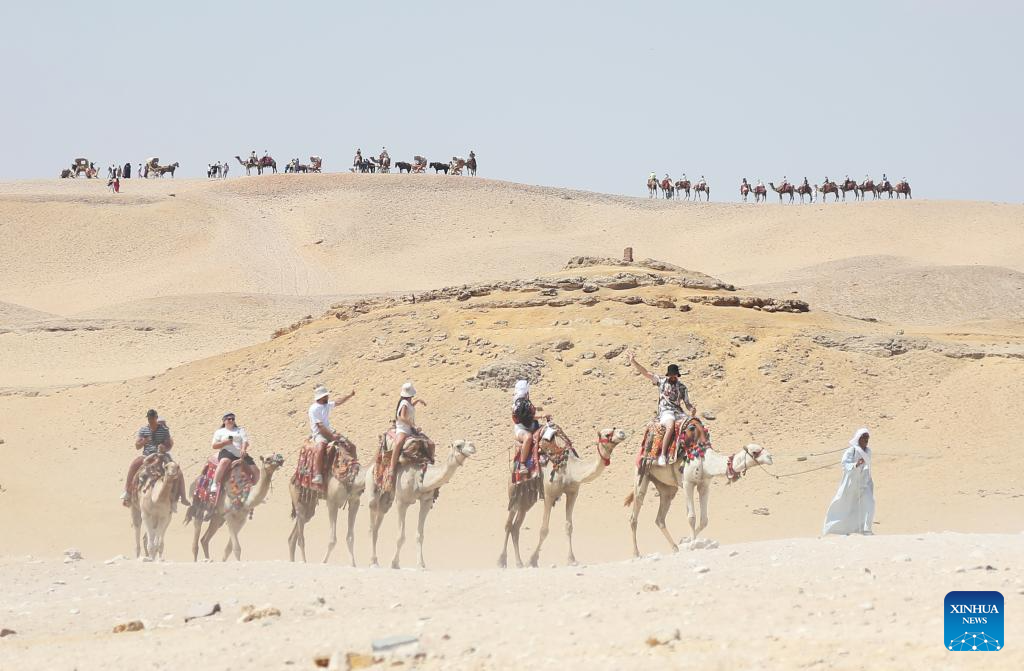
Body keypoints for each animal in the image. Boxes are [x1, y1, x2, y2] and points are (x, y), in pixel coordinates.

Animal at [366, 439, 476, 569]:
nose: (473, 447)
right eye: (458, 445)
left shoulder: (426, 501)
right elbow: (400, 537)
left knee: (379, 519)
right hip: (373, 489)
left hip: (386, 500)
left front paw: (421, 565)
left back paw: (375, 561)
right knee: (372, 520)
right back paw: (373, 562)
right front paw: (394, 563)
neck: (421, 478)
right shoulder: (402, 501)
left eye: (468, 442)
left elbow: (420, 536)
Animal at [499, 427, 627, 569]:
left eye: (615, 428)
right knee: (508, 524)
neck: (570, 468)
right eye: (607, 434)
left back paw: (519, 562)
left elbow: (568, 526)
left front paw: (571, 559)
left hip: (526, 499)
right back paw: (502, 561)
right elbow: (544, 530)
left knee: (515, 527)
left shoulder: (572, 493)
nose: (622, 432)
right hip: (513, 492)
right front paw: (532, 560)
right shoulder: (549, 495)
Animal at [626, 435, 773, 556]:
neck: (705, 462)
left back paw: (675, 547)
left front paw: (685, 541)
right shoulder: (687, 483)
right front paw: (691, 545)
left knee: (660, 518)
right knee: (635, 512)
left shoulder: (704, 486)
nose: (770, 457)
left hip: (668, 488)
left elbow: (704, 520)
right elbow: (691, 517)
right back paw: (636, 553)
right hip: (642, 473)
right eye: (755, 452)